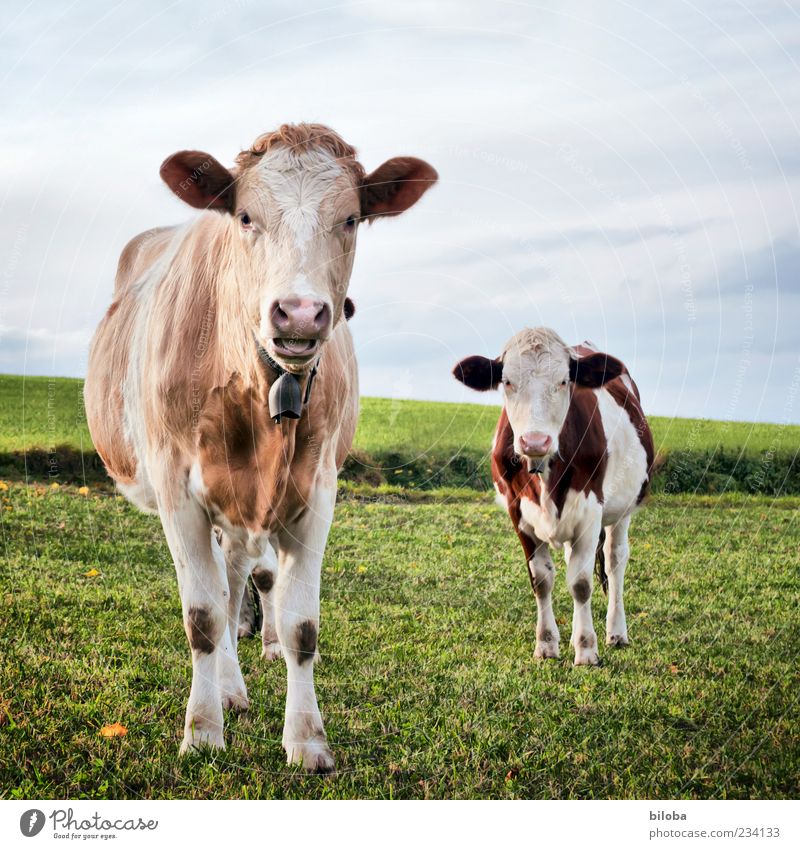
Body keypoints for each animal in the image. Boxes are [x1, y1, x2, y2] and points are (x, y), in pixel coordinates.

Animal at [84, 122, 438, 772]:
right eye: (246, 217)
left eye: (350, 218)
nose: (299, 313)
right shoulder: (177, 489)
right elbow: (203, 617)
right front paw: (202, 731)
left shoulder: (317, 490)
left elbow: (301, 625)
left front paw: (307, 738)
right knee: (224, 593)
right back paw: (227, 688)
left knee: (242, 578)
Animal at [454, 328, 652, 664]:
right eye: (507, 381)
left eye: (563, 381)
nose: (535, 441)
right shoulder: (518, 513)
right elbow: (541, 580)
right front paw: (547, 643)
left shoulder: (590, 512)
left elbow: (581, 583)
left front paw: (586, 649)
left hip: (623, 510)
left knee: (614, 561)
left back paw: (616, 632)